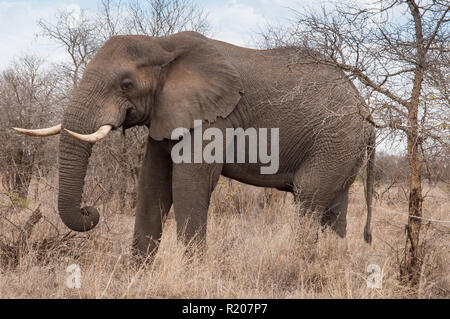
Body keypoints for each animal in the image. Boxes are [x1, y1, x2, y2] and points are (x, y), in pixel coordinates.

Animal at [14, 31, 376, 258]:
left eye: (126, 84)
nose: (90, 210)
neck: (163, 45)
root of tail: (366, 109)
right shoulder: (166, 112)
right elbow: (153, 184)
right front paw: (137, 274)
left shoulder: (215, 117)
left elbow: (190, 182)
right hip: (341, 145)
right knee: (333, 208)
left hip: (336, 138)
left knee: (308, 199)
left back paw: (298, 265)